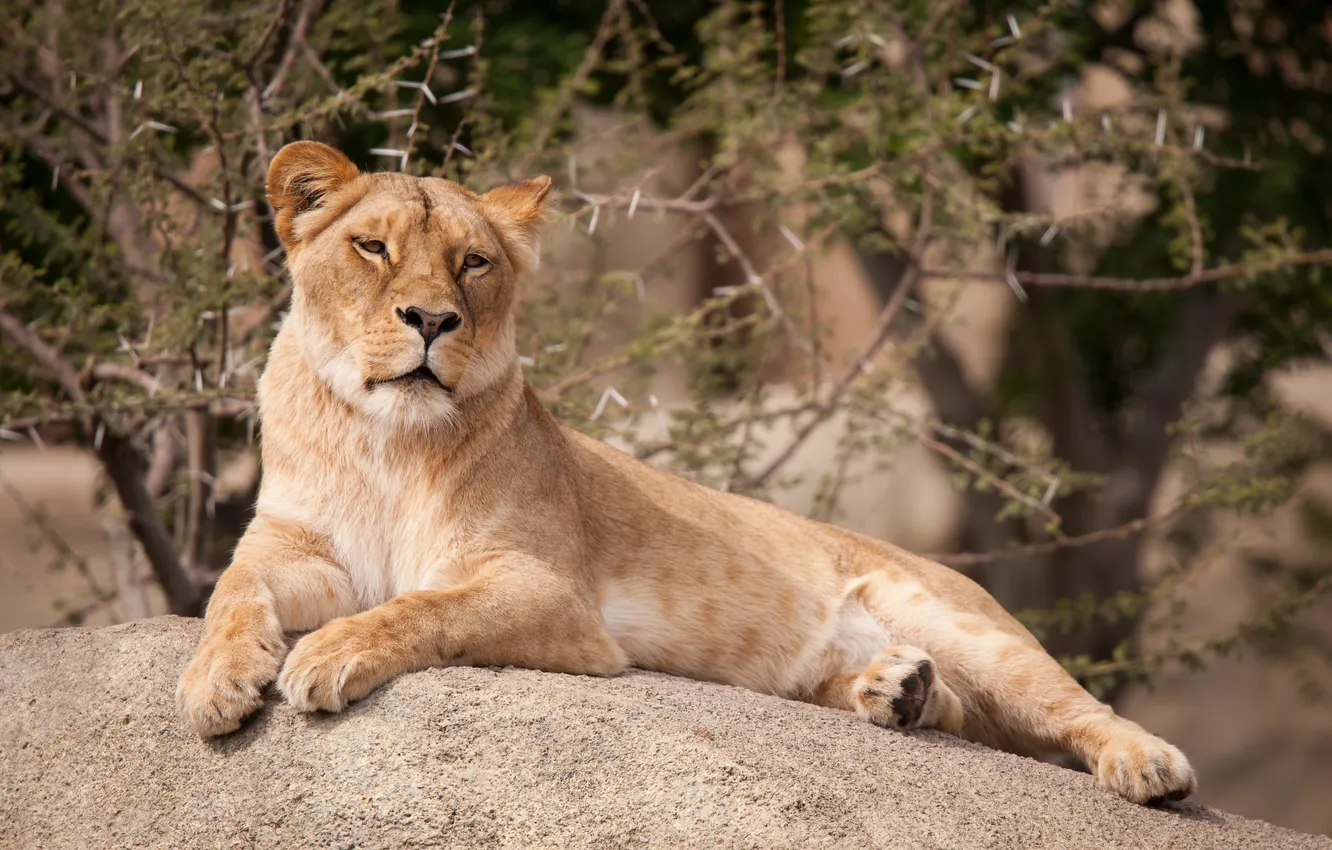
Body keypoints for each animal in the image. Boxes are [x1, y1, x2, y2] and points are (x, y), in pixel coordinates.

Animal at [177, 141, 1196, 805]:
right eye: (373, 247)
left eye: (474, 262)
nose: (433, 320)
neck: (386, 441)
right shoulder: (298, 548)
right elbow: (231, 589)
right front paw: (213, 685)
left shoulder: (548, 592)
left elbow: (421, 608)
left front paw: (326, 655)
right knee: (946, 709)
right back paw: (896, 692)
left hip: (966, 621)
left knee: (1072, 705)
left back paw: (1147, 764)